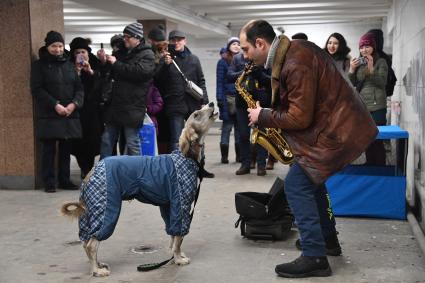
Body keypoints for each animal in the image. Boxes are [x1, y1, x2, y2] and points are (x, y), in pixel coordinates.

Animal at [61, 103, 217, 278]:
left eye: (203, 107)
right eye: (196, 114)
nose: (211, 103)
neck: (186, 157)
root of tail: (92, 171)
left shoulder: (169, 206)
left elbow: (173, 236)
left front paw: (175, 255)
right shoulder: (181, 204)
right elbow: (178, 237)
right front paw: (178, 259)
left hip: (91, 212)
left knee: (86, 241)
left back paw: (98, 264)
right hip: (105, 210)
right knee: (91, 244)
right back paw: (96, 270)